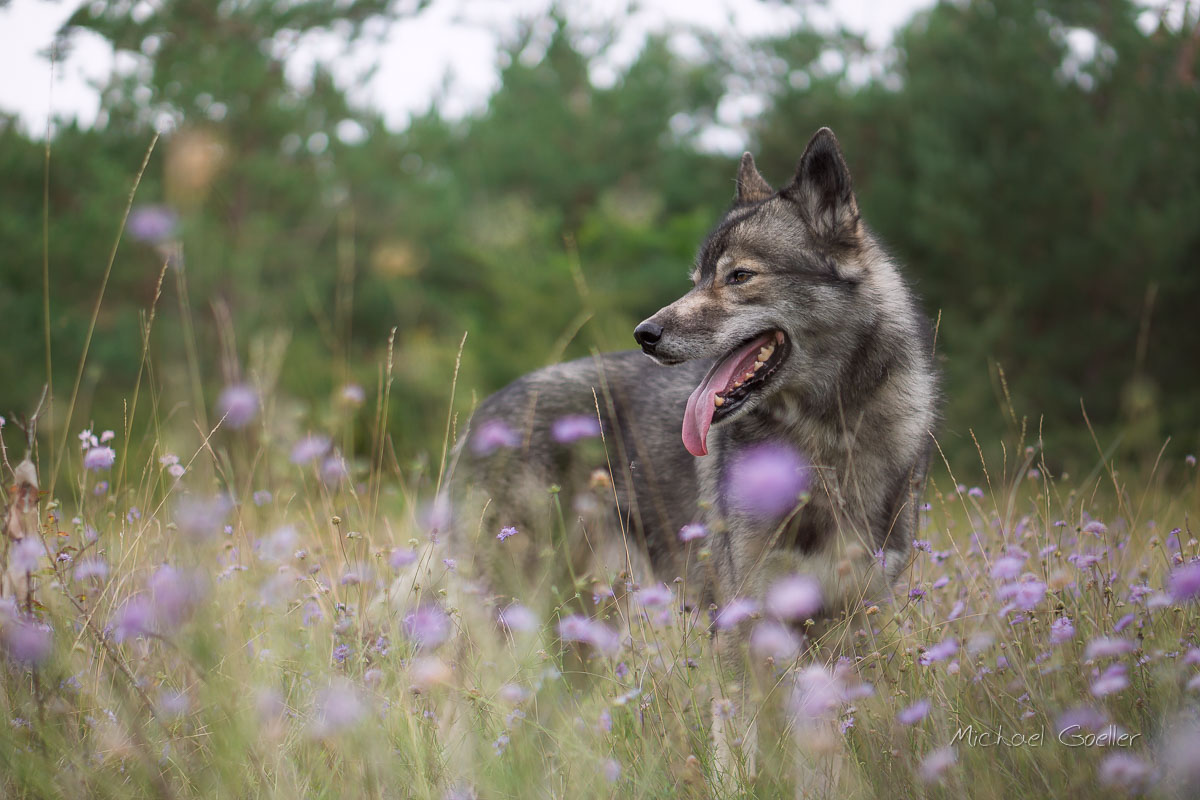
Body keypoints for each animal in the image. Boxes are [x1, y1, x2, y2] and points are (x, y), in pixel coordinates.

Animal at [450, 127, 938, 785]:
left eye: (738, 276)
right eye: (697, 277)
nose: (645, 335)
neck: (822, 445)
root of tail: (483, 418)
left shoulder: (842, 632)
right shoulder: (739, 630)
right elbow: (736, 757)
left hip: (578, 631)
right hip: (515, 618)